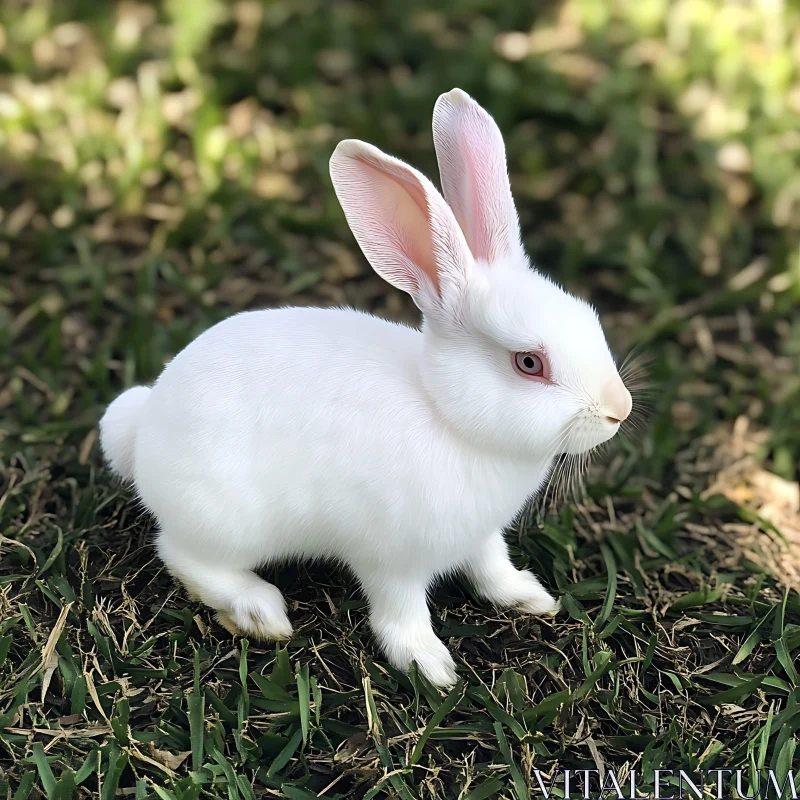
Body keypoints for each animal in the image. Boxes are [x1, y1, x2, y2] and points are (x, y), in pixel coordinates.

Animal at [100, 89, 628, 688]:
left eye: (588, 314)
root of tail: (142, 427)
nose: (620, 409)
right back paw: (260, 611)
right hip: (227, 522)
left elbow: (492, 568)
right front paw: (431, 667)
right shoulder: (390, 560)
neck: (449, 418)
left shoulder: (480, 536)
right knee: (183, 555)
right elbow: (400, 613)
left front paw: (529, 597)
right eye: (529, 363)